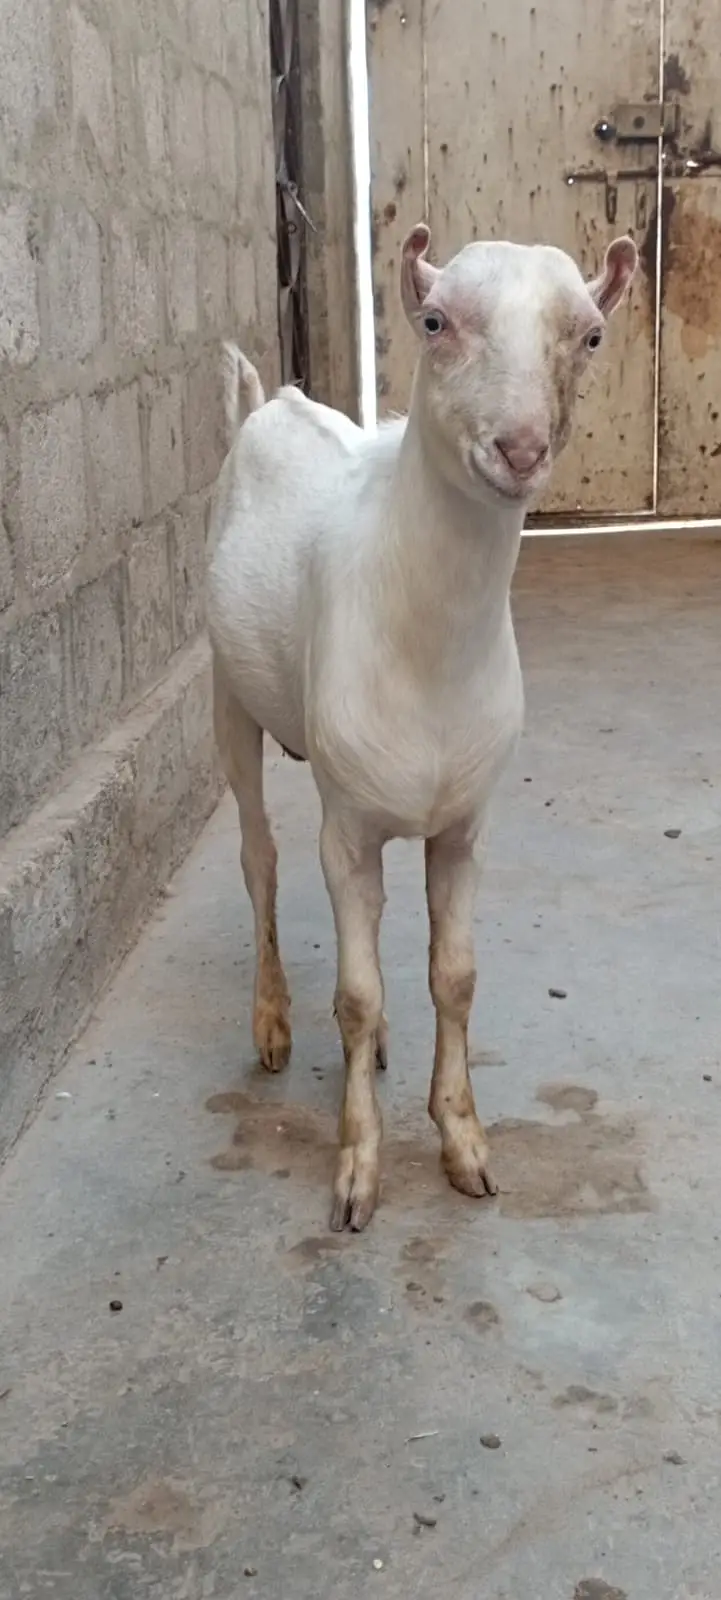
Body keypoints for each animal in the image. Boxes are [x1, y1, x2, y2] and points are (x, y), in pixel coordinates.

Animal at [207, 223, 637, 1232]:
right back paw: (274, 1021)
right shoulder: (344, 829)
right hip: (225, 692)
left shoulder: (464, 827)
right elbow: (358, 992)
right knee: (258, 856)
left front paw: (463, 1142)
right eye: (435, 321)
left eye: (591, 334)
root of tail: (269, 401)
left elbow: (454, 976)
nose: (518, 448)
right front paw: (357, 1169)